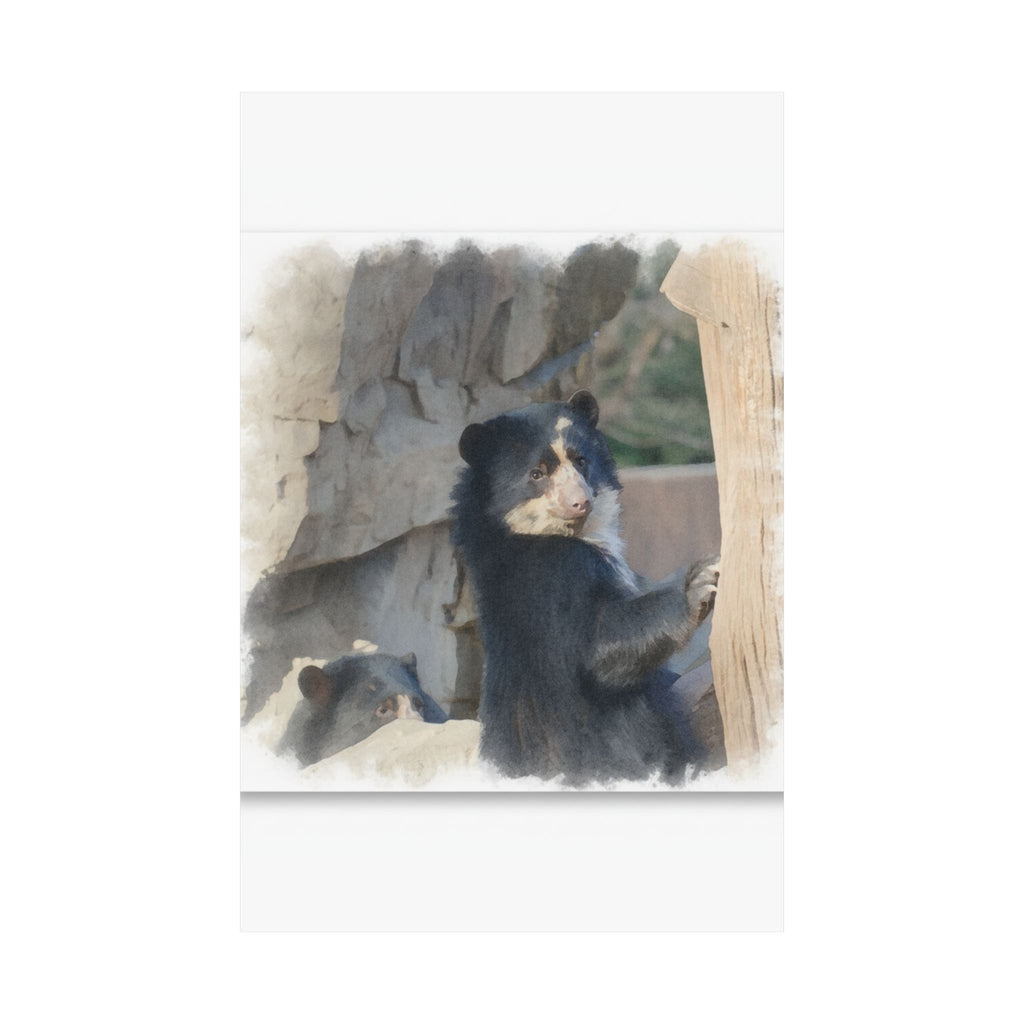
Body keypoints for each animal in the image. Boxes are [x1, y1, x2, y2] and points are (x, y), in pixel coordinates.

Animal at [450, 389, 719, 785]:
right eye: (537, 473)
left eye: (581, 460)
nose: (580, 502)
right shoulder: (554, 577)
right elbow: (600, 645)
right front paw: (701, 581)